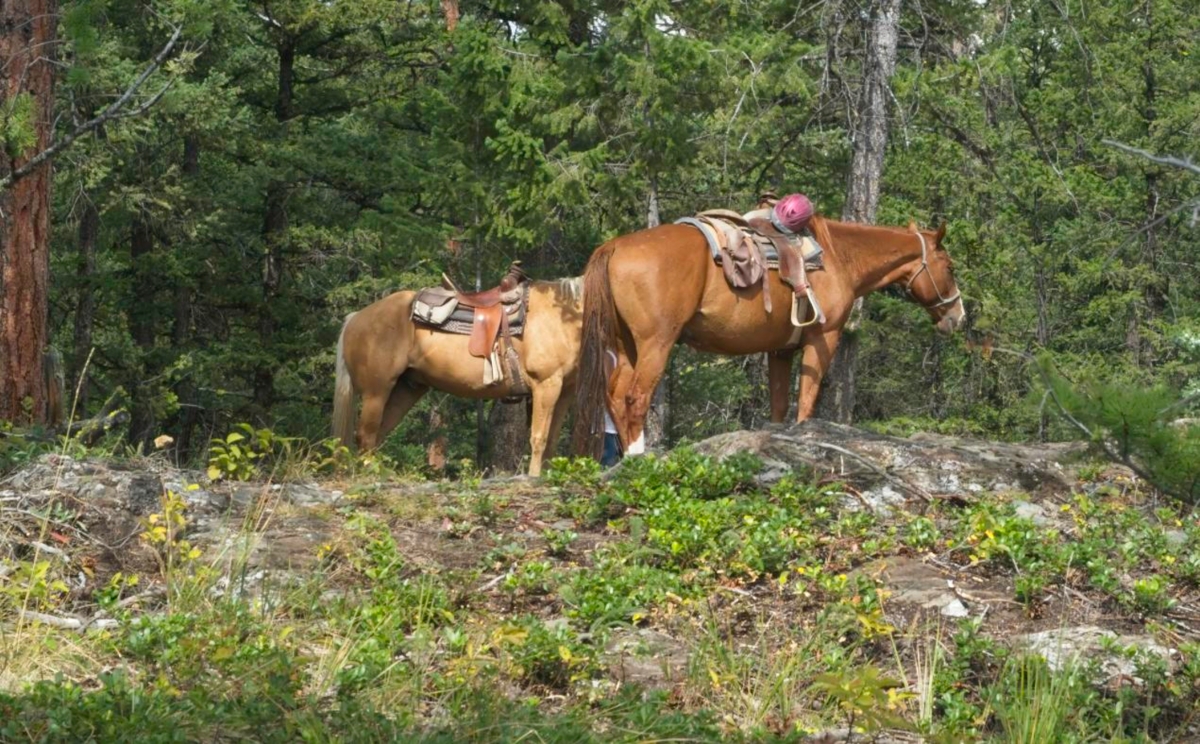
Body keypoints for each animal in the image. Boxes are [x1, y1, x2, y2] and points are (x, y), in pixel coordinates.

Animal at [333, 277, 583, 476]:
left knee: (378, 433)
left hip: (406, 389)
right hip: (376, 391)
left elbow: (551, 440)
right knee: (366, 435)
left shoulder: (564, 392)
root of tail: (356, 317)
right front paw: (534, 477)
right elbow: (539, 438)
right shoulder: (546, 384)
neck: (564, 315)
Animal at [571, 216, 965, 455]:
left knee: (615, 396)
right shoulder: (823, 340)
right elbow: (806, 402)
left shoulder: (780, 351)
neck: (838, 257)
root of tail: (614, 247)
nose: (958, 316)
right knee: (635, 399)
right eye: (950, 267)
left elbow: (778, 408)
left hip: (626, 346)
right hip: (656, 344)